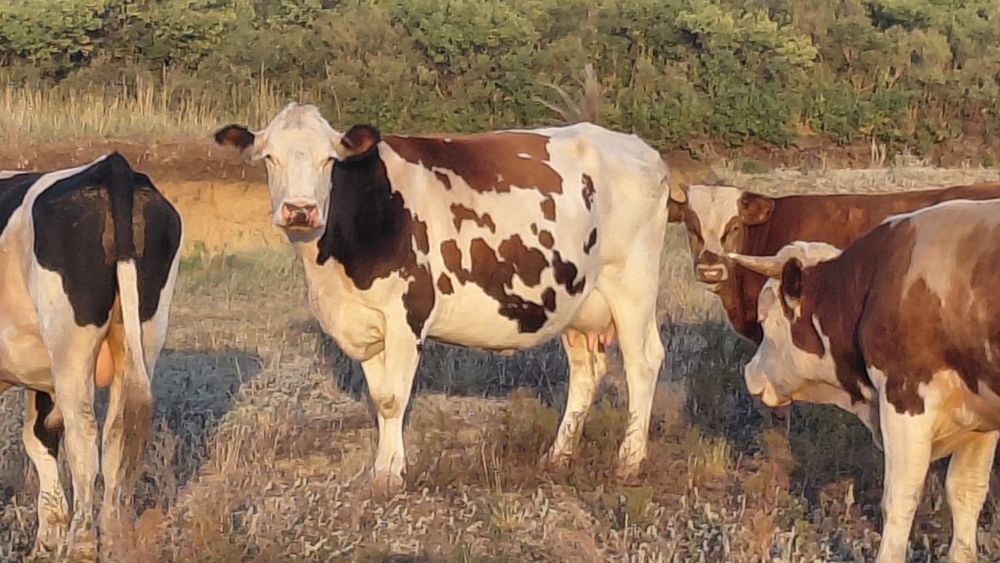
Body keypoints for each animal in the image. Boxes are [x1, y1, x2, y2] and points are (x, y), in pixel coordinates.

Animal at [0, 154, 181, 559]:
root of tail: (113, 166)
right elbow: (38, 437)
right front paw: (46, 542)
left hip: (71, 344)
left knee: (84, 435)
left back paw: (82, 544)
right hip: (142, 332)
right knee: (117, 433)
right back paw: (112, 537)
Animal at [215, 103, 671, 493]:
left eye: (329, 160)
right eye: (269, 158)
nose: (300, 210)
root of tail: (637, 146)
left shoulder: (406, 316)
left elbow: (393, 399)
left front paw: (387, 475)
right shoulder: (365, 322)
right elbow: (379, 398)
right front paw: (388, 466)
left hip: (632, 283)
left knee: (643, 363)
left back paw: (629, 460)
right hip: (574, 300)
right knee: (585, 372)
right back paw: (558, 455)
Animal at [729, 198, 1000, 563]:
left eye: (763, 319)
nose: (749, 373)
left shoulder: (904, 398)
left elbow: (900, 499)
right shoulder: (978, 414)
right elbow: (966, 492)